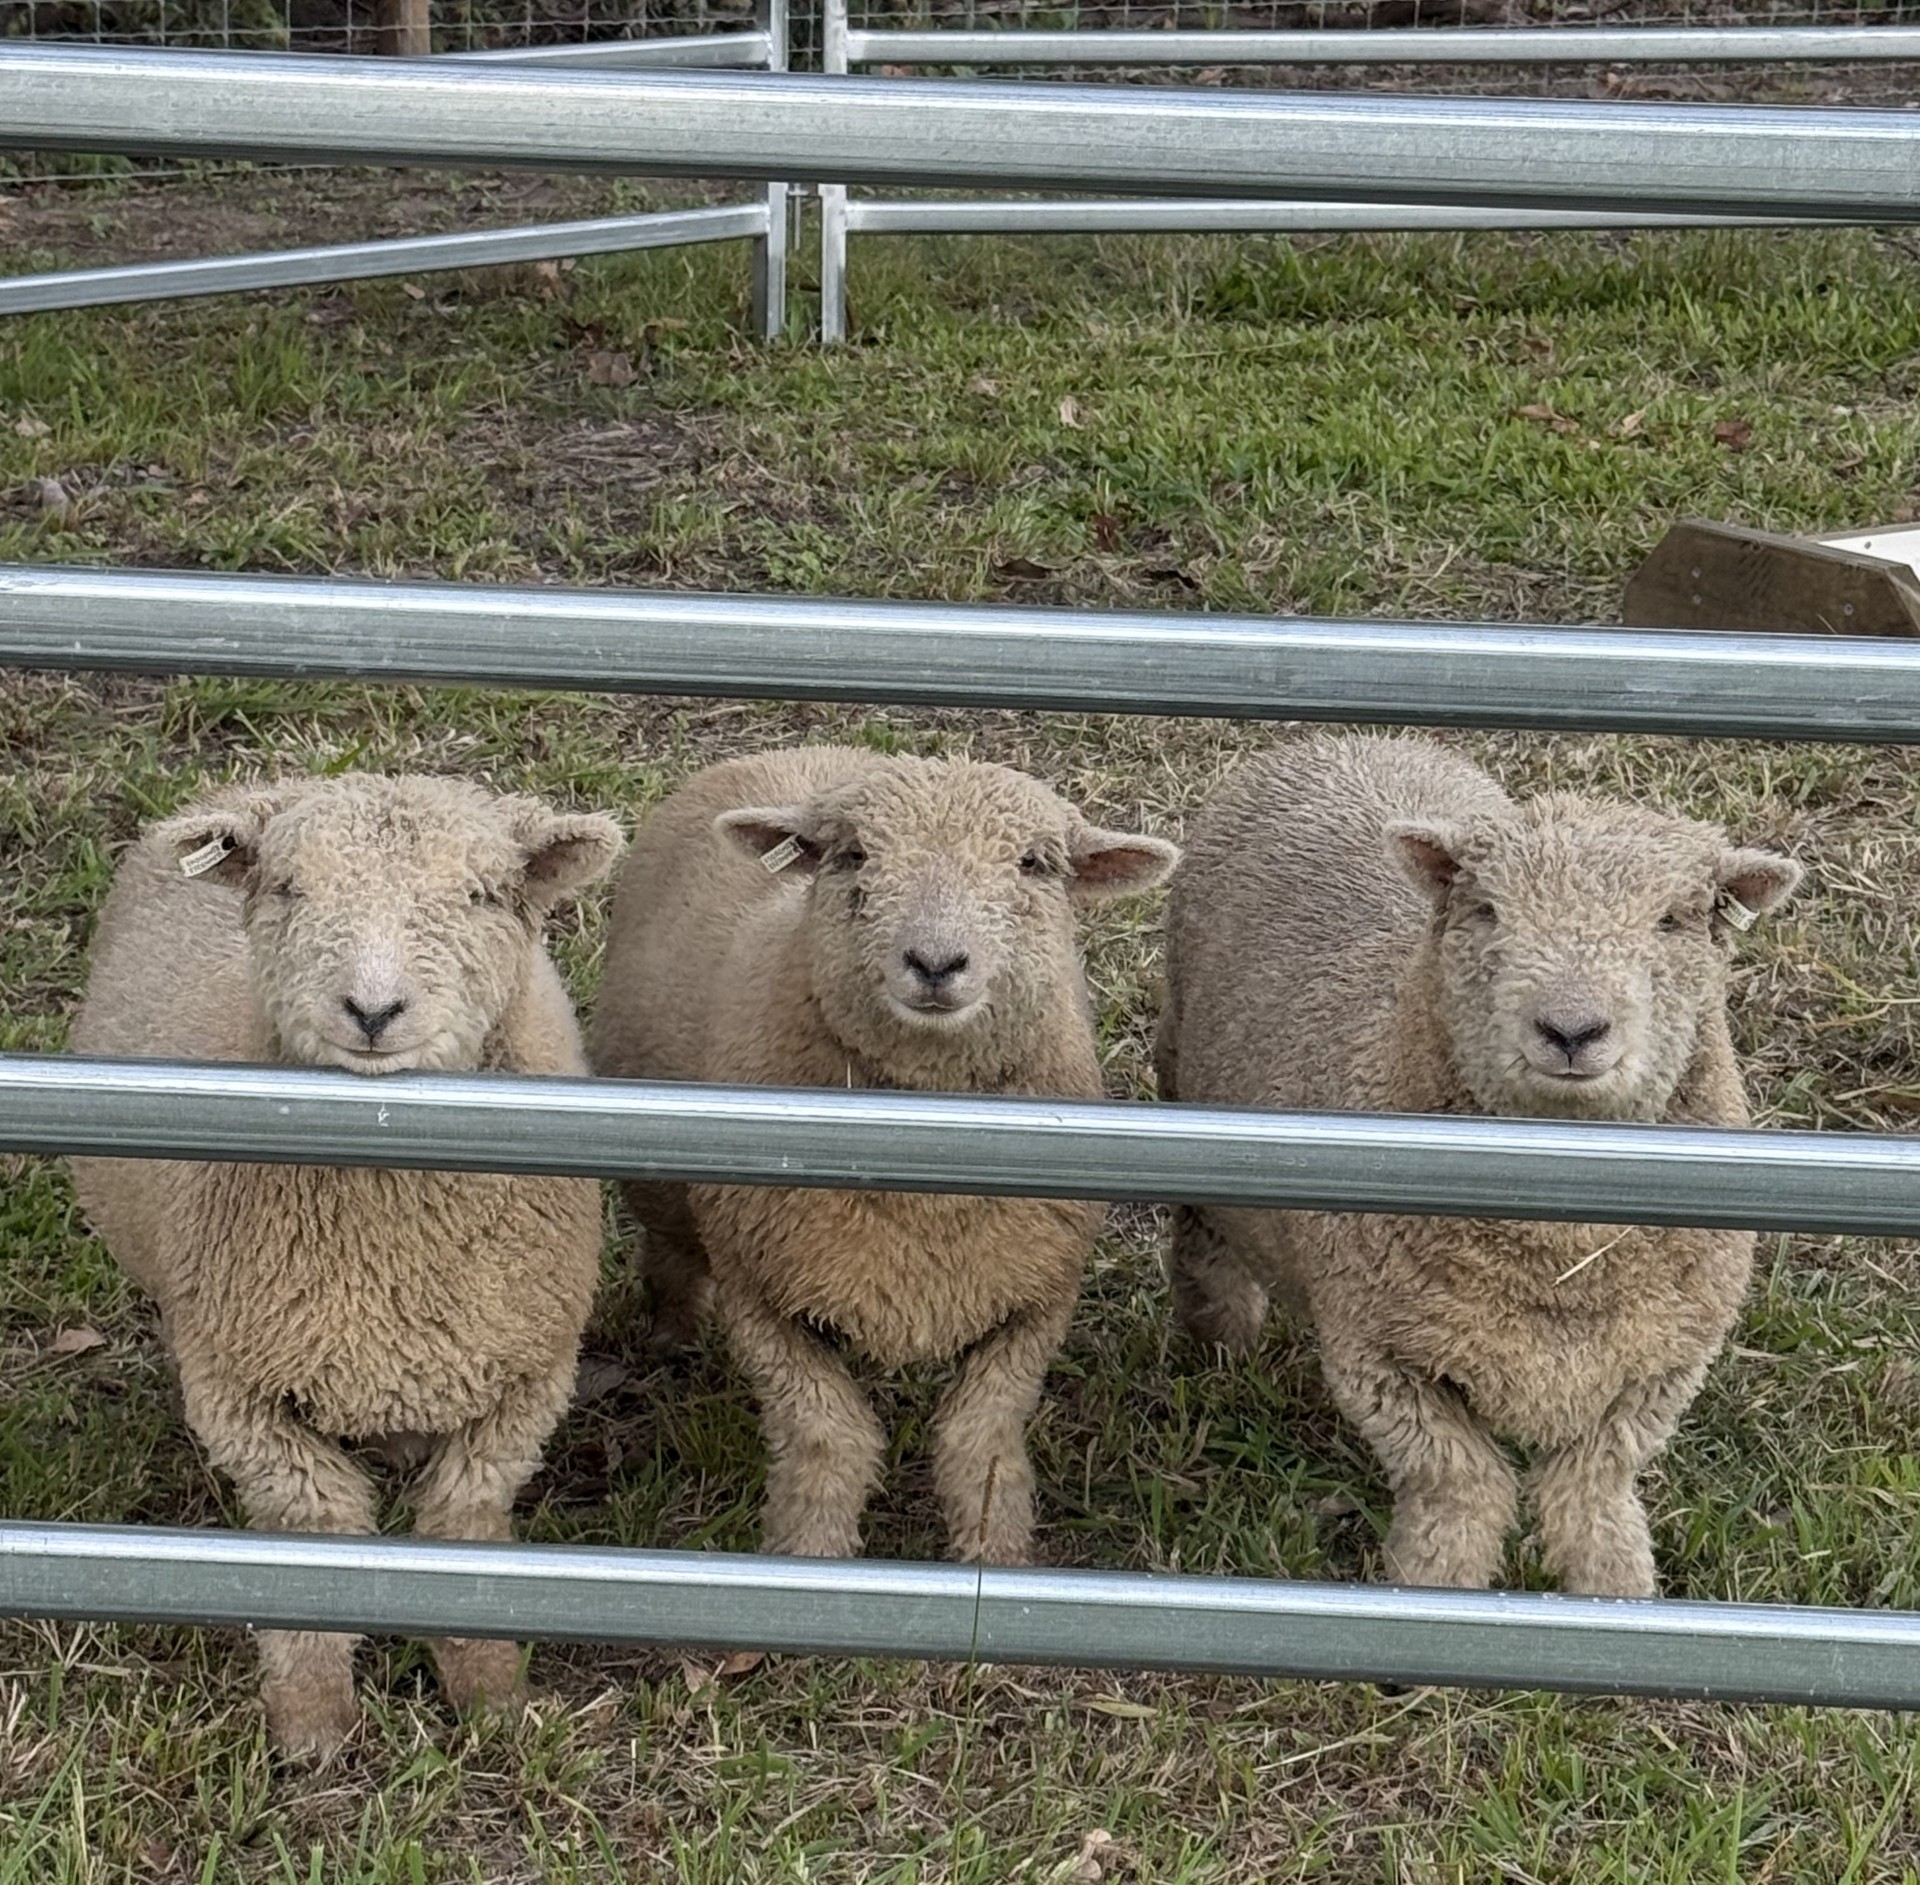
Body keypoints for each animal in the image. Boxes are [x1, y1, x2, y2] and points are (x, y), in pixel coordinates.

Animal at [67, 774, 623, 1760]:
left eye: (481, 895)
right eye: (289, 889)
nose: (372, 1010)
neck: (389, 1258)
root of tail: (259, 777)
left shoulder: (533, 1372)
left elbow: (462, 1518)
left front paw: (491, 1694)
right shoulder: (235, 1383)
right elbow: (313, 1526)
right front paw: (313, 1720)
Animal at [589, 746, 1177, 1563]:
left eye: (1033, 863)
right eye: (854, 856)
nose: (935, 962)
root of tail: (782, 752)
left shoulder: (1039, 1296)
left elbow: (978, 1441)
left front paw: (994, 1556)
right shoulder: (758, 1290)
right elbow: (828, 1441)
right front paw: (811, 1556)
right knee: (672, 1250)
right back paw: (671, 1334)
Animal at [1156, 733, 1801, 1596]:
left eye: (1674, 920)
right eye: (1489, 909)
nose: (1571, 1028)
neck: (1560, 1266)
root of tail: (1340, 741)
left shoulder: (1659, 1366)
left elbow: (1593, 1489)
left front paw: (1617, 1587)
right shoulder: (1380, 1354)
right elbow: (1459, 1485)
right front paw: (1435, 1583)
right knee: (1204, 1229)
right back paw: (1219, 1337)